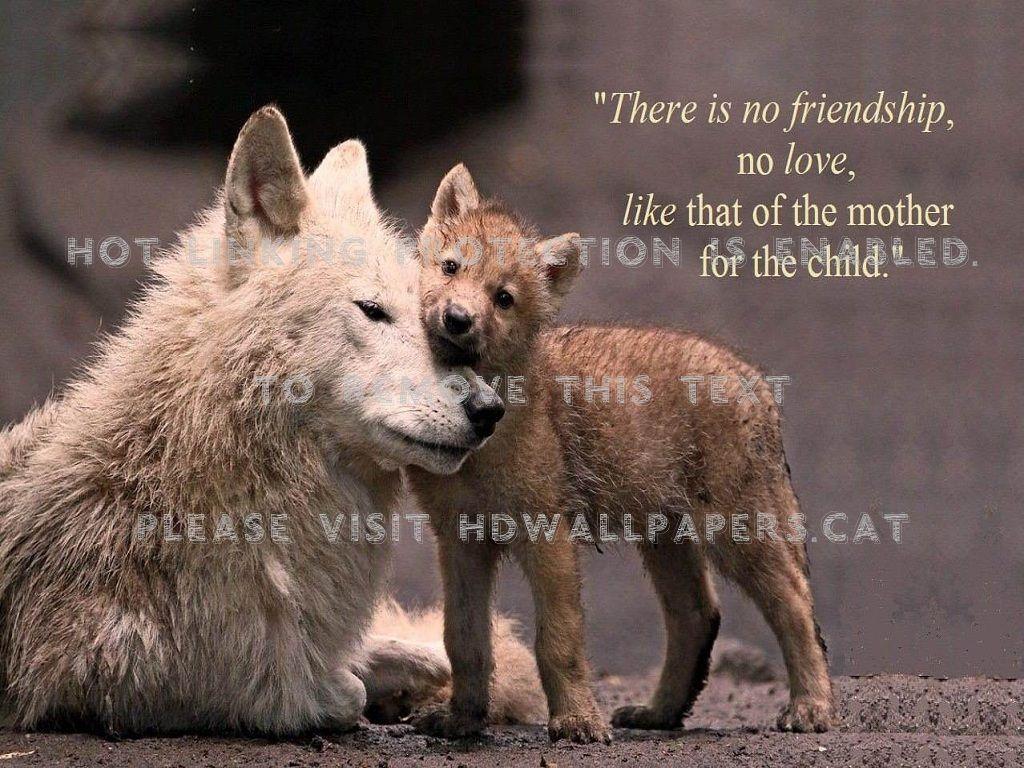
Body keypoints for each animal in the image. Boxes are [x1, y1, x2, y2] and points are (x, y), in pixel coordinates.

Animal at [406, 164, 836, 742]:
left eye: (504, 298)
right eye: (451, 267)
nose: (456, 318)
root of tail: (759, 385)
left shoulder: (548, 533)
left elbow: (558, 640)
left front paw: (575, 722)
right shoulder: (460, 540)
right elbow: (464, 639)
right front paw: (460, 719)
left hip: (738, 528)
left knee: (794, 605)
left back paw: (810, 708)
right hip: (666, 534)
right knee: (697, 616)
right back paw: (659, 713)